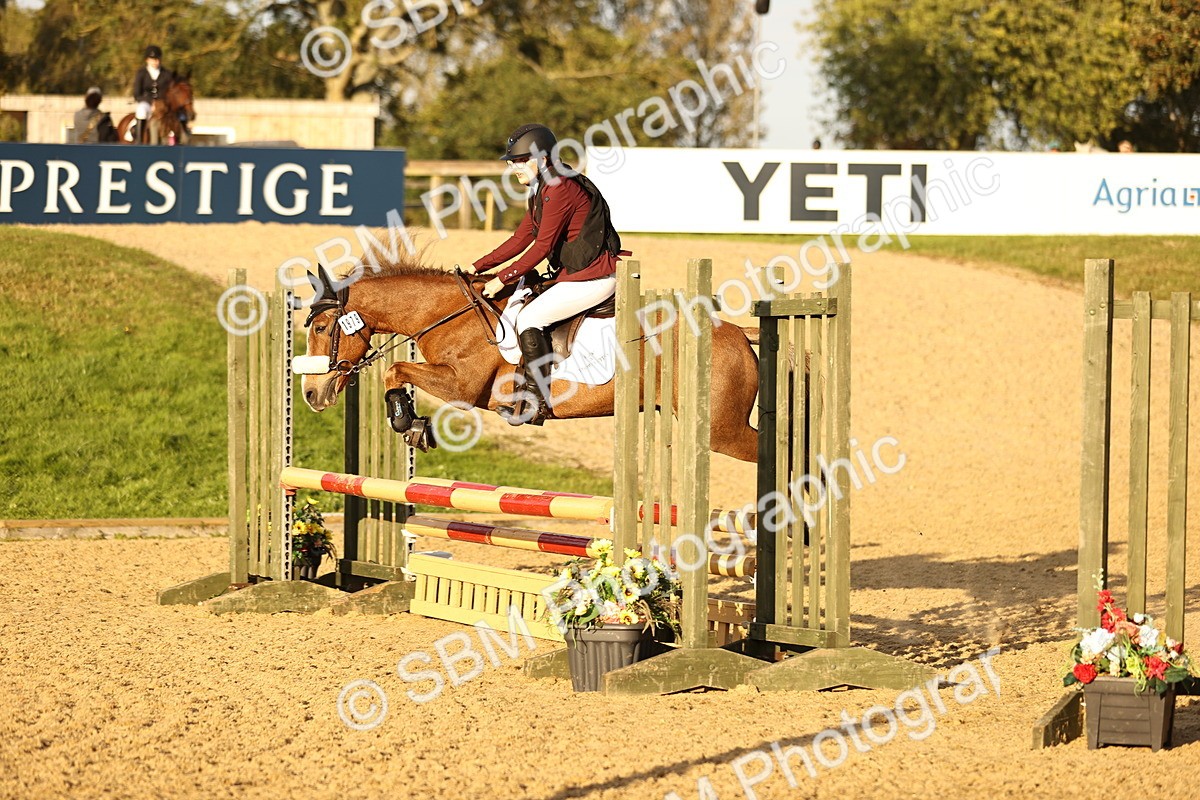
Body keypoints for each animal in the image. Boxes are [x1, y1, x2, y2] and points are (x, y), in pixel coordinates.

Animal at [296, 255, 761, 463]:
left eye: (321, 329)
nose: (311, 395)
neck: (448, 313)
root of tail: (738, 333)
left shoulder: (462, 387)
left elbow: (395, 368)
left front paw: (408, 422)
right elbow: (397, 373)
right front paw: (411, 422)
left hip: (722, 432)